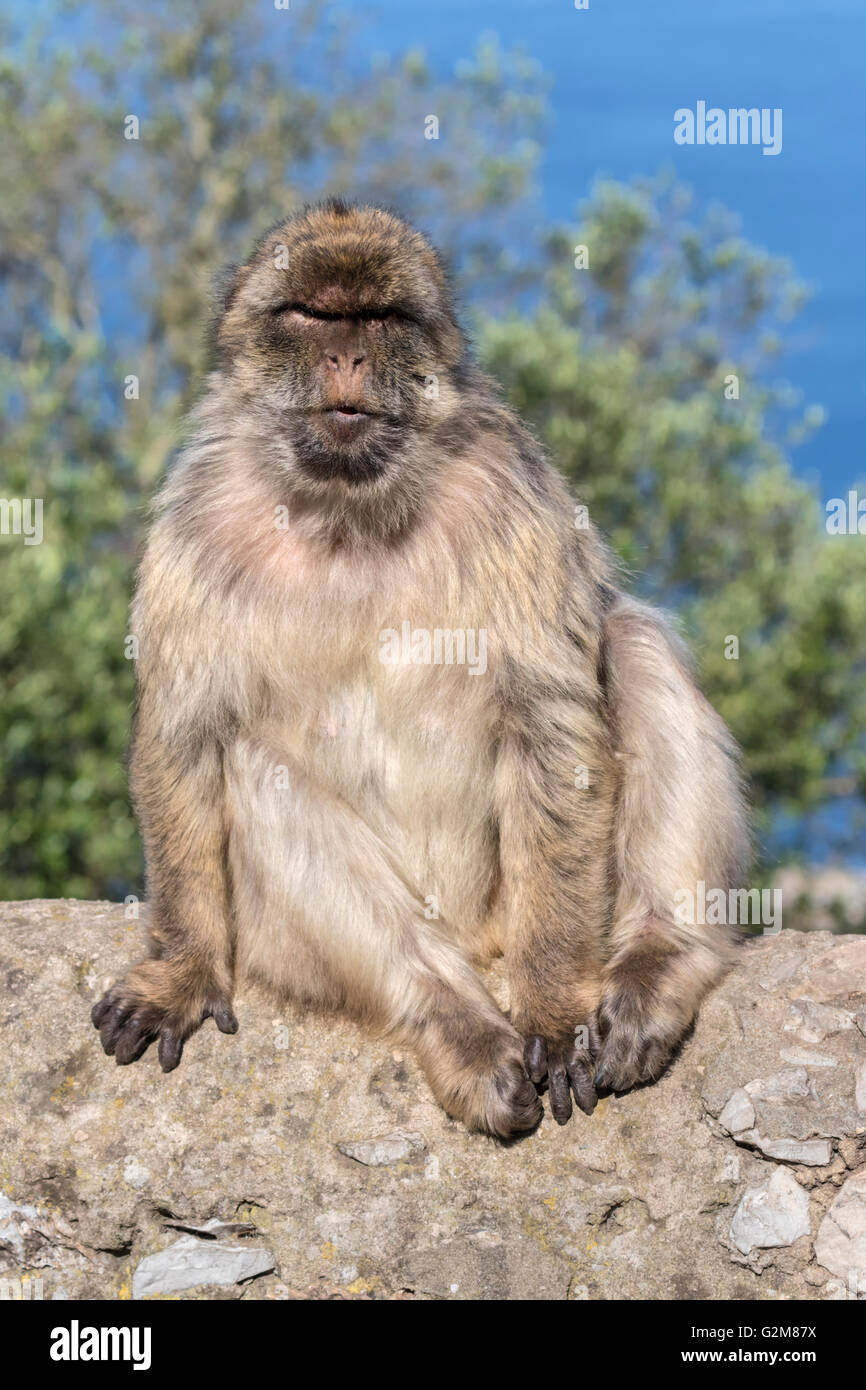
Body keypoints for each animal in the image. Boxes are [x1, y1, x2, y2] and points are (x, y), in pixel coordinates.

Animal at [92, 199, 750, 1138]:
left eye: (381, 319)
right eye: (312, 316)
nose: (347, 358)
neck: (348, 508)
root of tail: (477, 943)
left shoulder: (511, 490)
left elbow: (552, 724)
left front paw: (556, 1010)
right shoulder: (197, 516)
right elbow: (185, 735)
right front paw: (181, 969)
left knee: (631, 642)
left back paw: (658, 964)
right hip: (305, 943)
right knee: (254, 771)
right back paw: (454, 1023)